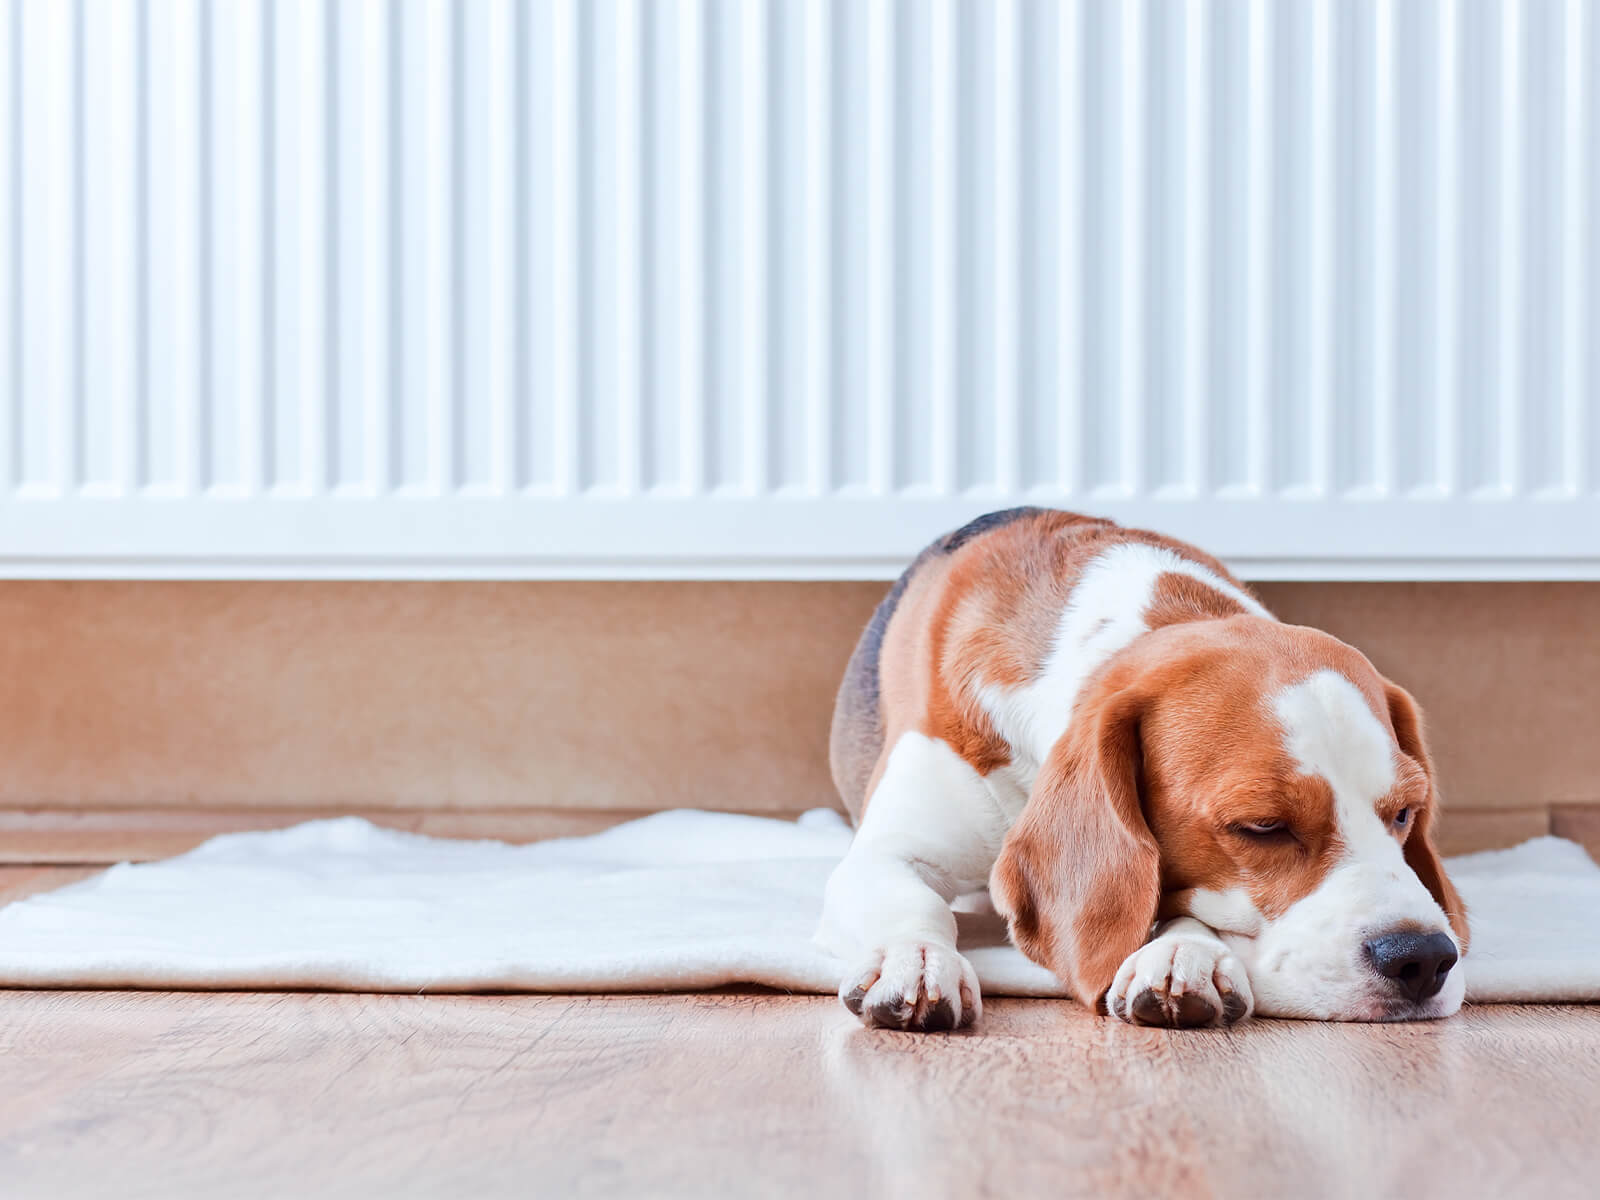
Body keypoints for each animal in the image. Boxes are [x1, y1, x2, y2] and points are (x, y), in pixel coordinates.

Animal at [819, 508, 1465, 1036]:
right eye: (1262, 827)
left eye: (1405, 812)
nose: (1425, 958)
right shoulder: (888, 852)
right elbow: (914, 904)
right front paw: (915, 959)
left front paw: (1182, 954)